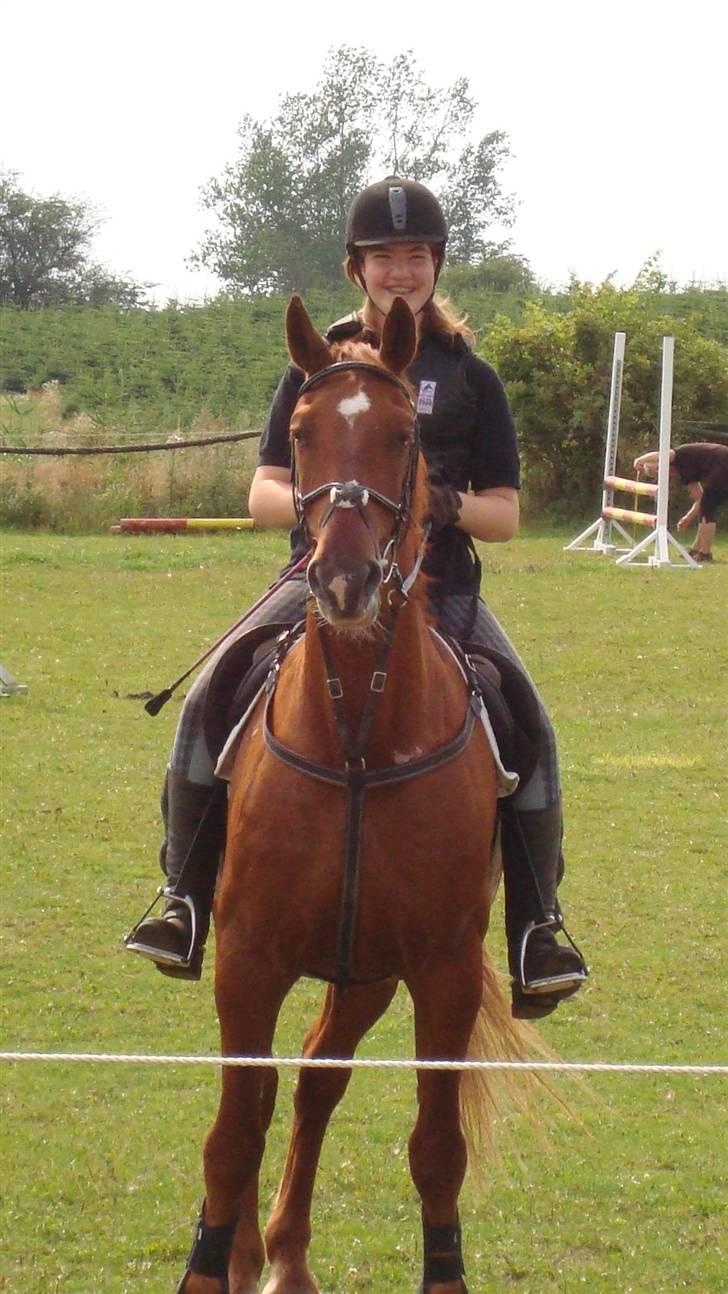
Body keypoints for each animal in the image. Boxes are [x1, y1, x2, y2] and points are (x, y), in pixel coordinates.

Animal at [178, 296, 535, 1294]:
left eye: (404, 434)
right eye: (301, 433)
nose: (343, 582)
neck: (359, 742)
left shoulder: (442, 972)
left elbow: (436, 1149)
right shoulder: (247, 958)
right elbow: (231, 1133)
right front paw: (207, 1267)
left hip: (366, 973)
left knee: (313, 1079)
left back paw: (286, 1257)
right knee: (273, 1092)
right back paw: (251, 1251)